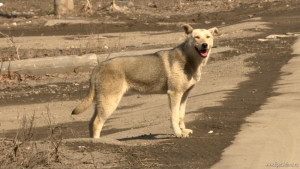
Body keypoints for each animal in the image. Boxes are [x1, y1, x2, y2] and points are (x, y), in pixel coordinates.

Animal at [72, 24, 218, 139]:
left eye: (208, 37)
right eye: (196, 37)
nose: (204, 45)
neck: (189, 60)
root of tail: (99, 66)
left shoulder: (184, 95)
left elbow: (181, 116)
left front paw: (183, 131)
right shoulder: (174, 94)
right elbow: (174, 116)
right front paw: (177, 133)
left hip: (101, 102)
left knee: (91, 123)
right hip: (110, 102)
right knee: (97, 123)